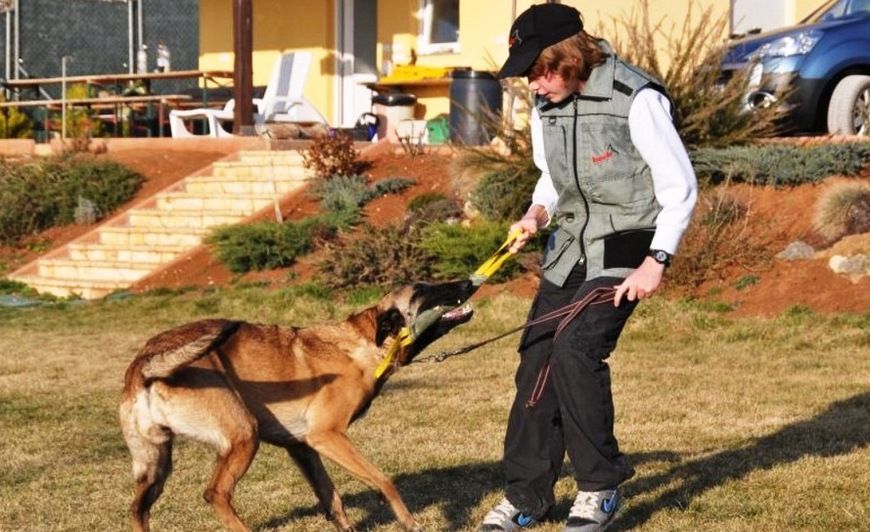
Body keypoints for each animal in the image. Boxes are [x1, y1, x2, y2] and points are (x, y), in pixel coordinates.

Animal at [118, 280, 474, 528]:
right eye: (421, 290)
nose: (468, 283)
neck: (363, 343)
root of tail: (143, 364)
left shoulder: (302, 448)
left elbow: (333, 500)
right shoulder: (327, 436)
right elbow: (384, 480)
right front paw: (410, 522)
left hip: (155, 465)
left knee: (138, 509)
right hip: (244, 434)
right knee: (215, 493)